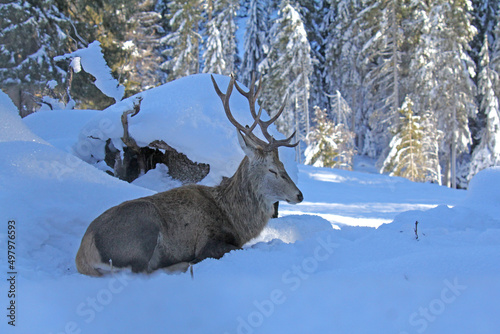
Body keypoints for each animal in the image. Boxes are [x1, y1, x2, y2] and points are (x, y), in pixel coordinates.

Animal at [75, 74, 302, 276]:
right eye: (272, 169)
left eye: (283, 165)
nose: (299, 195)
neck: (235, 219)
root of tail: (82, 256)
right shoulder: (208, 240)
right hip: (142, 228)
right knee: (141, 271)